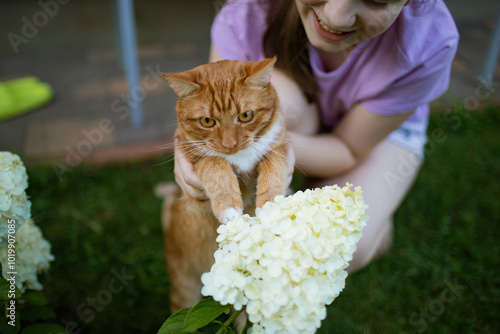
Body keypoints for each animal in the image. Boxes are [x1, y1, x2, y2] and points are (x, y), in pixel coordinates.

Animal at [156, 57, 290, 314]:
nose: (230, 145)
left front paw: (271, 207)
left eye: (246, 116)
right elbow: (216, 164)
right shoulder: (197, 161)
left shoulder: (279, 147)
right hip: (185, 288)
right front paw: (229, 208)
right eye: (207, 121)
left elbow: (274, 168)